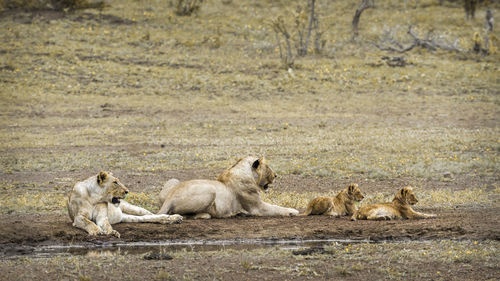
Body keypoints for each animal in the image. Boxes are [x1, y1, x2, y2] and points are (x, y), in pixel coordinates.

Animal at [157, 155, 296, 219]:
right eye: (267, 167)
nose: (276, 175)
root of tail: (170, 198)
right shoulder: (257, 207)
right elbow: (276, 208)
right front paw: (293, 211)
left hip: (173, 180)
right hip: (210, 191)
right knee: (186, 215)